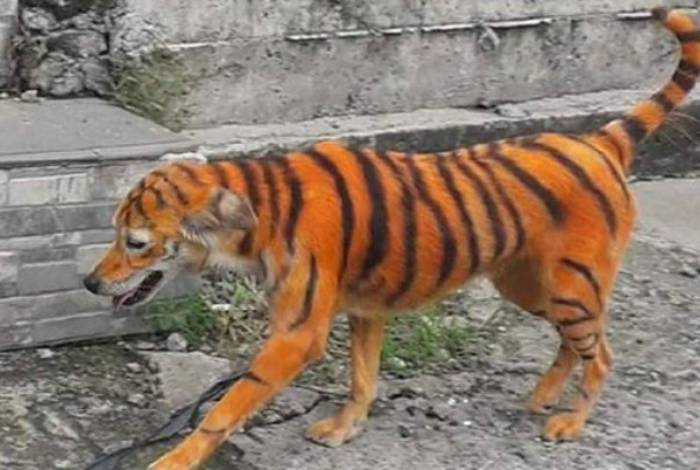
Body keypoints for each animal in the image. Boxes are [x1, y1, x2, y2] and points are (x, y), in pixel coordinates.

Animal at [82, 8, 699, 470]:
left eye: (135, 241)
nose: (88, 283)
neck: (257, 211)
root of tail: (599, 140)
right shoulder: (364, 310)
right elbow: (363, 378)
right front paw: (344, 429)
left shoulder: (298, 332)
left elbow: (226, 407)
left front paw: (173, 460)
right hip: (529, 285)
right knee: (575, 343)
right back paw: (544, 397)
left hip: (571, 287)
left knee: (603, 354)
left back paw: (569, 420)